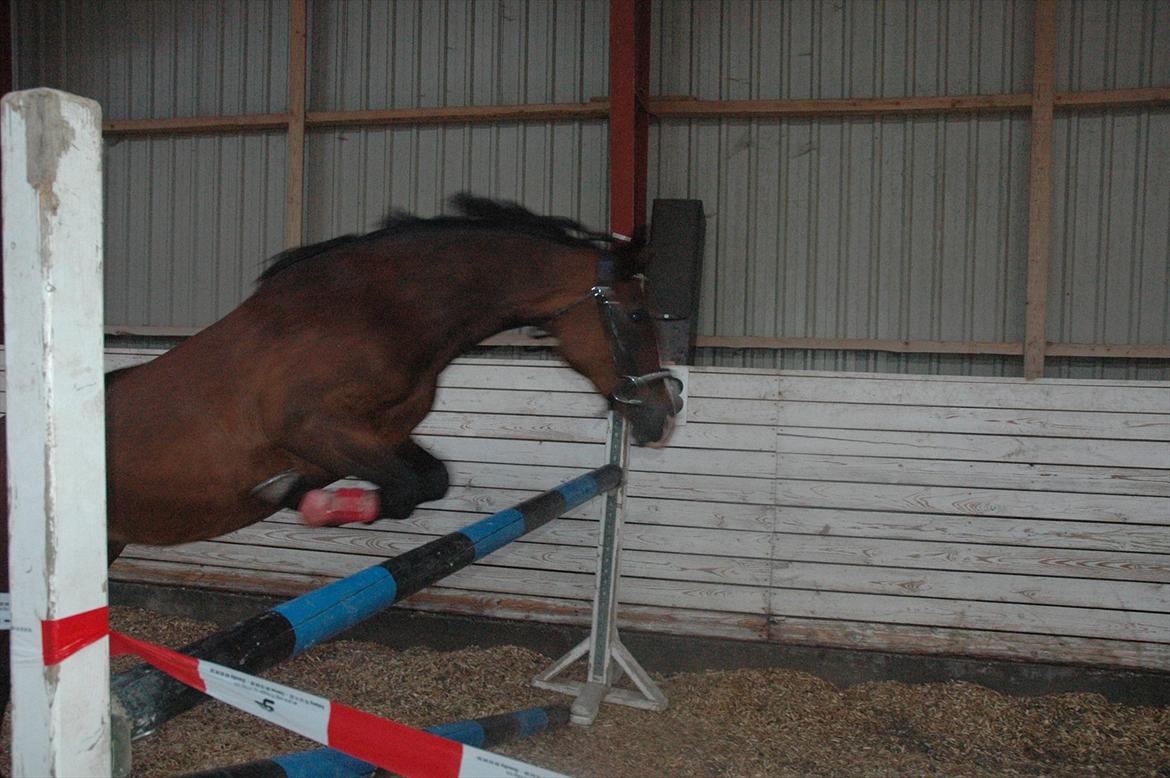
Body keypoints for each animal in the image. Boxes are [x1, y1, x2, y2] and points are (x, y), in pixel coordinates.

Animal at [0, 193, 683, 719]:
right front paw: (308, 502)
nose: (661, 417)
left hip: (106, 544)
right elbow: (404, 489)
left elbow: (424, 483)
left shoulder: (377, 435)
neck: (380, 310)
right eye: (637, 315)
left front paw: (308, 499)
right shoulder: (318, 427)